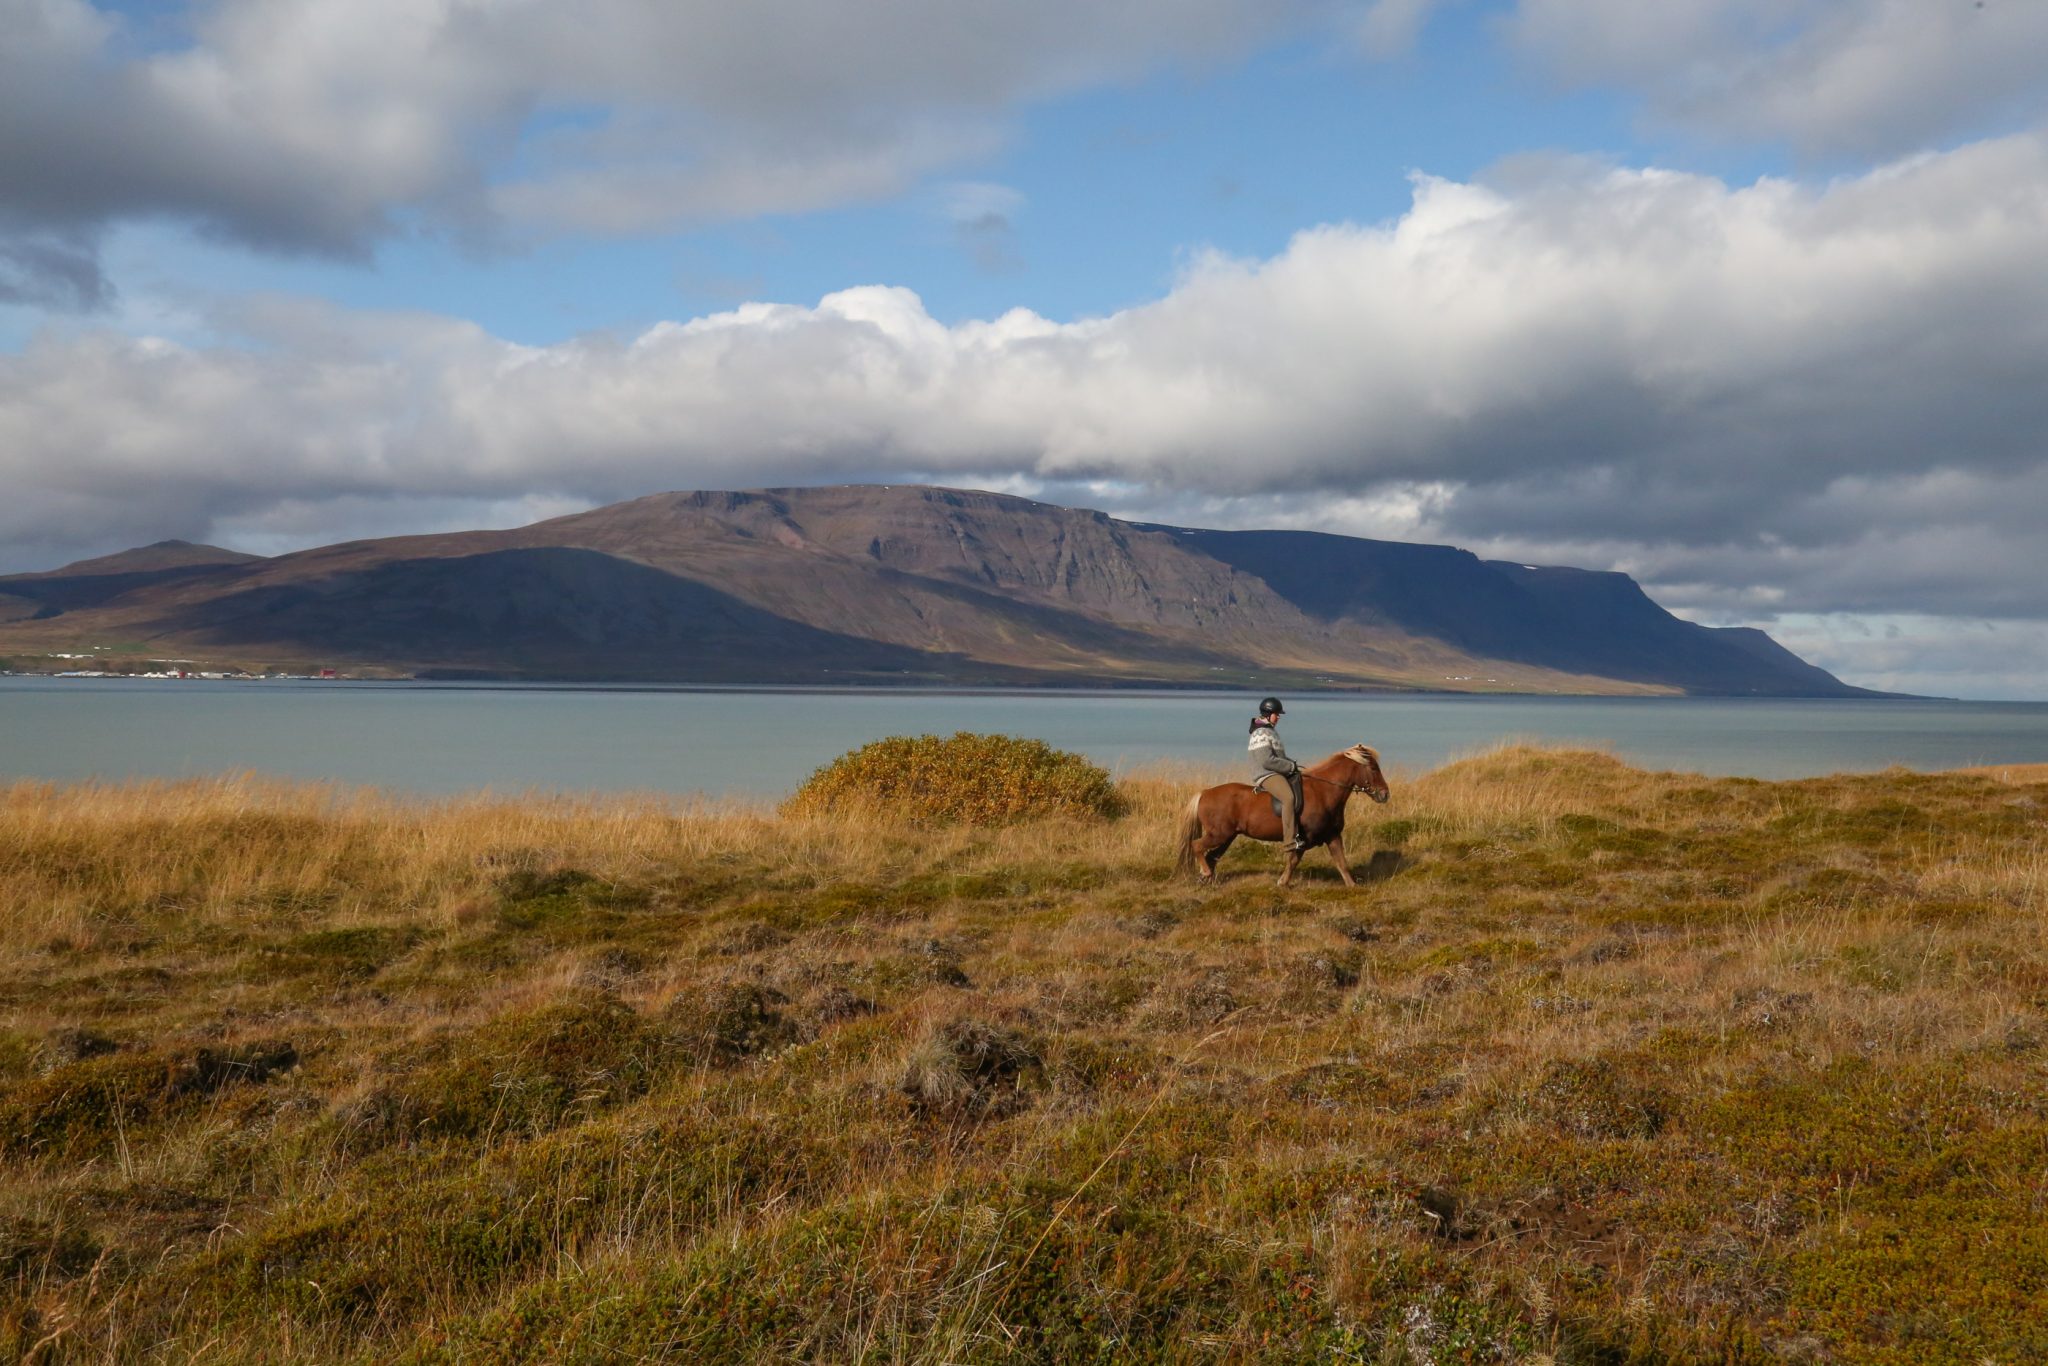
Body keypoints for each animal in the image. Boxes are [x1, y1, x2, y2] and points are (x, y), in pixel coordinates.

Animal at [1174, 744, 1390, 888]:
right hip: (1219, 834)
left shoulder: (1332, 836)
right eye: (1373, 768)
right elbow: (1294, 860)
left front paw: (1352, 885)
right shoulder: (1304, 838)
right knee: (1197, 846)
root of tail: (1204, 793)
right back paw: (1205, 872)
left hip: (1228, 836)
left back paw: (1207, 878)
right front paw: (1283, 882)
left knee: (1211, 855)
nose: (1385, 794)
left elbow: (1341, 862)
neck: (1323, 792)